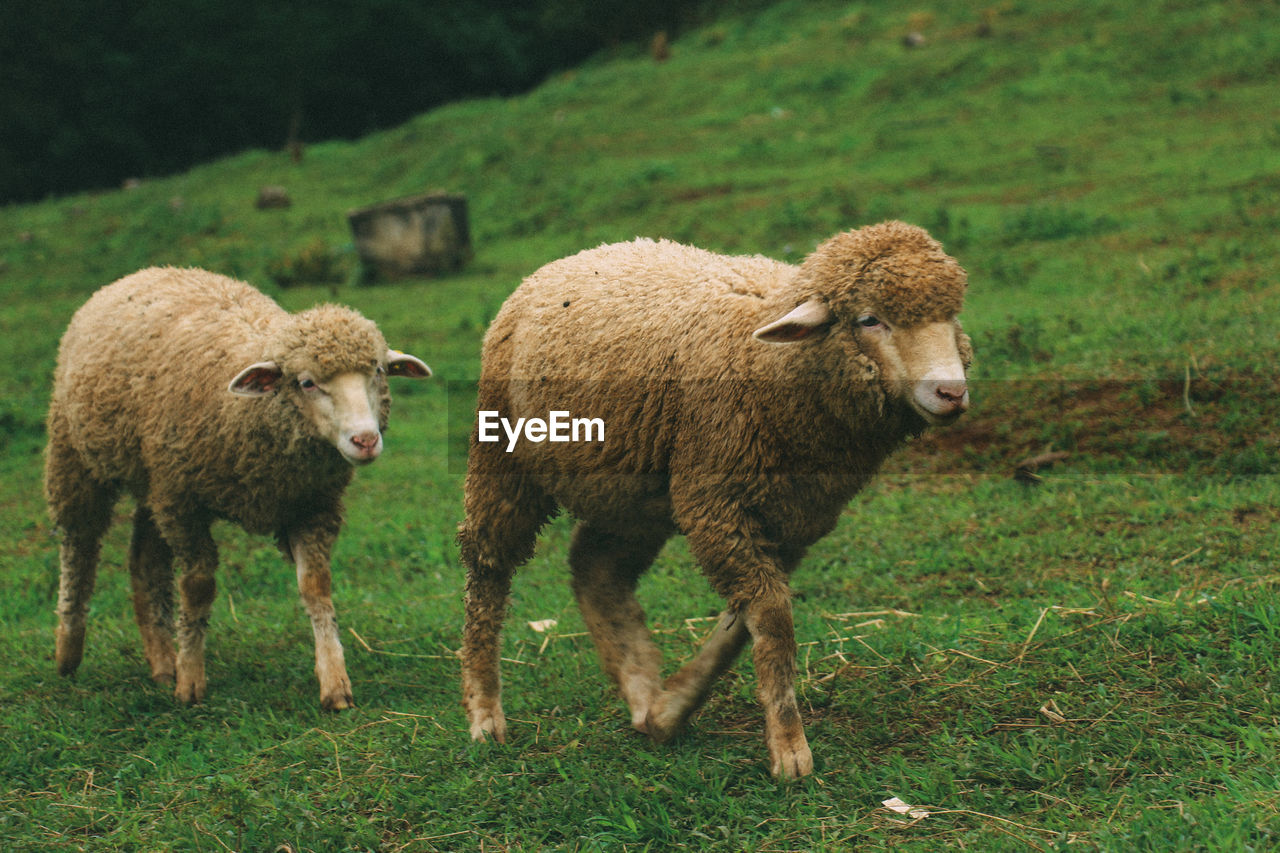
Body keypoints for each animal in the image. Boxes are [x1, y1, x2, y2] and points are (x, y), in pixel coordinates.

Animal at [45, 266, 430, 701]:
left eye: (378, 372)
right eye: (306, 383)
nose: (364, 440)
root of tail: (147, 271)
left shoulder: (311, 504)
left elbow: (315, 586)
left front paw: (334, 681)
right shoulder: (184, 504)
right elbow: (198, 586)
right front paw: (191, 681)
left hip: (154, 480)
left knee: (145, 559)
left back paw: (162, 662)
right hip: (76, 455)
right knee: (79, 545)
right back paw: (68, 650)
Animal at [460, 220, 967, 778]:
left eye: (951, 314)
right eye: (870, 319)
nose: (951, 392)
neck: (762, 355)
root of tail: (573, 257)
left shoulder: (790, 517)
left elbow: (747, 621)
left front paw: (671, 710)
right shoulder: (714, 504)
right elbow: (771, 615)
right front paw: (790, 748)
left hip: (632, 494)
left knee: (596, 568)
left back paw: (641, 691)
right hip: (503, 456)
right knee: (487, 571)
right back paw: (485, 713)